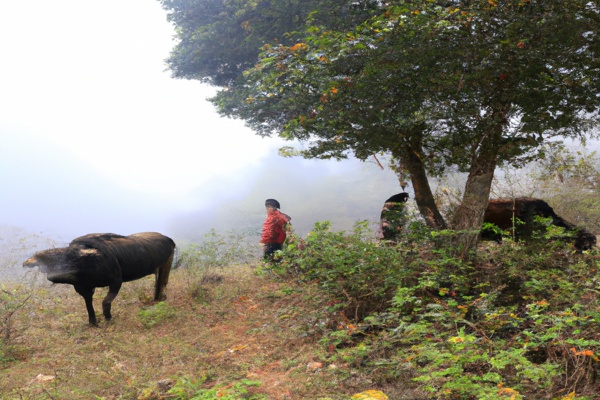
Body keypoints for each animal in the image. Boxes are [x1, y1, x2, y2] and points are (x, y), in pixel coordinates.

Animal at [23, 231, 176, 324]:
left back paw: (160, 299)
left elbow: (105, 302)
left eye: (72, 256)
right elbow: (88, 306)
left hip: (165, 266)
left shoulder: (116, 281)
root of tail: (168, 239)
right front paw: (93, 323)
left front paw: (108, 318)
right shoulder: (84, 289)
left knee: (162, 283)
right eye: (45, 262)